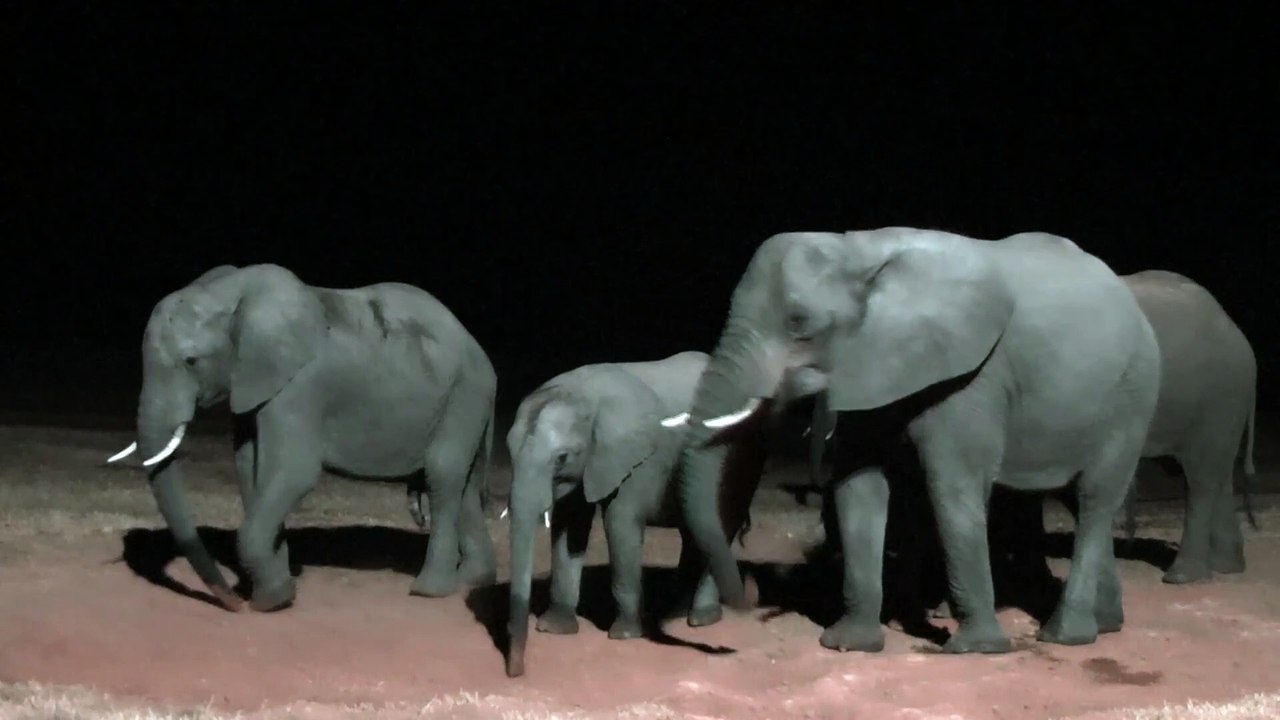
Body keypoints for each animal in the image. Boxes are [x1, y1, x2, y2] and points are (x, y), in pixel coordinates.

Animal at [106, 263, 498, 611]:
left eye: (191, 361)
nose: (232, 603)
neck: (231, 293)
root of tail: (478, 349)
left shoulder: (300, 387)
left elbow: (293, 472)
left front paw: (270, 602)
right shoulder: (252, 386)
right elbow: (250, 470)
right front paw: (276, 590)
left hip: (464, 395)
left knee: (443, 475)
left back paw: (428, 591)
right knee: (466, 484)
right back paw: (472, 581)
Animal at [504, 350, 767, 678]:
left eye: (562, 457)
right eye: (508, 451)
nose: (516, 672)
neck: (582, 395)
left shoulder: (639, 458)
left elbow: (619, 522)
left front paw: (624, 635)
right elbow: (570, 525)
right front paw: (555, 628)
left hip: (743, 456)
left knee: (720, 523)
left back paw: (702, 618)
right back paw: (678, 610)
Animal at [664, 227, 1162, 654]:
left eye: (798, 322)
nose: (741, 605)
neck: (860, 250)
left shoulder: (970, 375)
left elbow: (951, 488)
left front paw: (975, 648)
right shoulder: (869, 363)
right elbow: (857, 487)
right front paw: (850, 644)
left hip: (1132, 397)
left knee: (1095, 499)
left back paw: (1066, 636)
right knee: (1079, 501)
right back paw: (1107, 624)